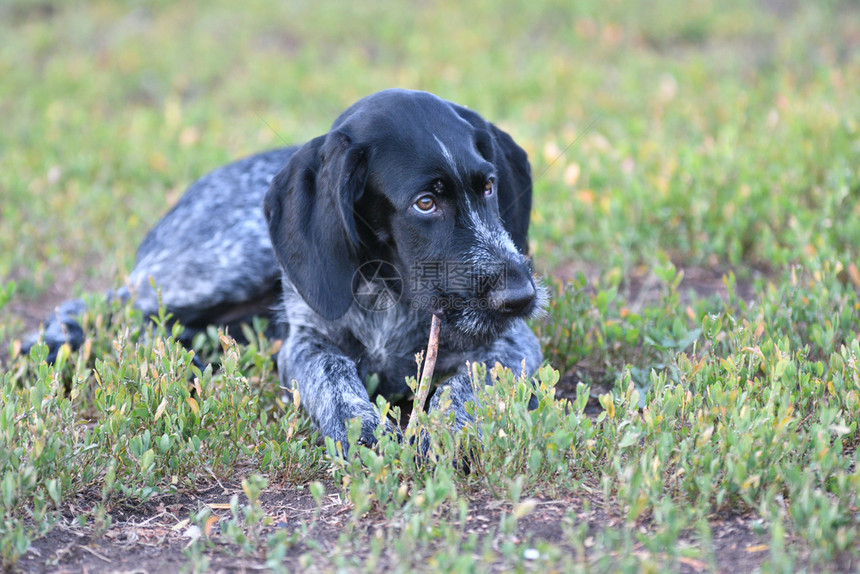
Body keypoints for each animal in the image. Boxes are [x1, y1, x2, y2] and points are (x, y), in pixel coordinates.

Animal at [21, 89, 544, 450]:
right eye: (425, 203)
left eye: (489, 187)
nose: (521, 296)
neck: (390, 294)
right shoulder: (305, 345)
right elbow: (334, 378)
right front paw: (366, 434)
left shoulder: (515, 344)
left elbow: (468, 382)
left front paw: (447, 425)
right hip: (225, 262)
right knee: (110, 303)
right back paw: (48, 345)